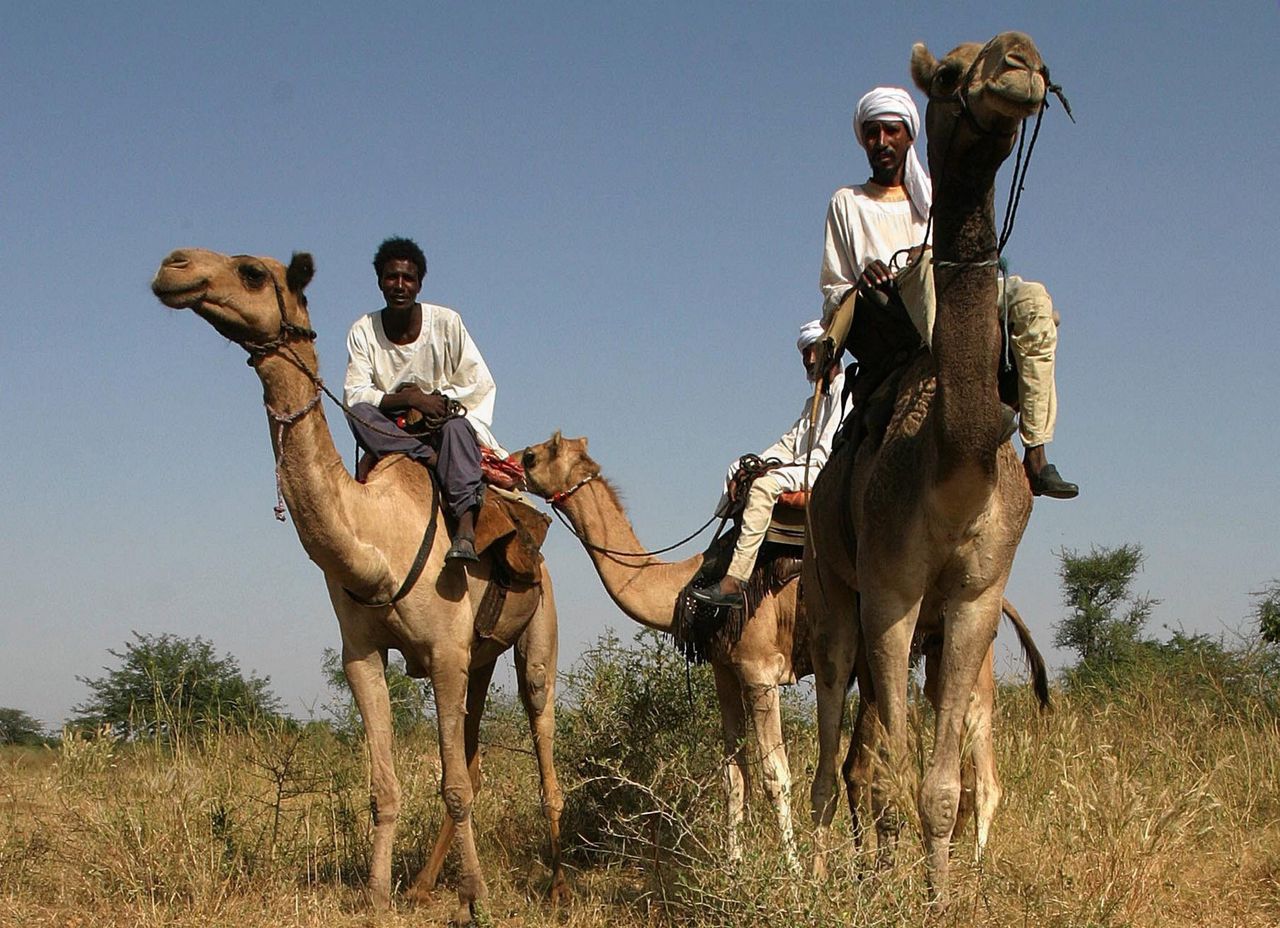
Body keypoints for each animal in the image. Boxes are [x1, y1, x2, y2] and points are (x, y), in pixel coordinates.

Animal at [149, 245, 565, 921]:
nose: (174, 266)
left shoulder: (442, 650)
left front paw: (475, 898)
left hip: (539, 632)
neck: (376, 541)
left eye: (252, 272)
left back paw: (554, 884)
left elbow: (451, 785)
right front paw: (377, 894)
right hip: (479, 655)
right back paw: (423, 883)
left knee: (538, 724)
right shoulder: (364, 653)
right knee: (474, 751)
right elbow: (386, 785)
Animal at [522, 435, 1049, 870]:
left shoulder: (759, 672)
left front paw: (793, 873)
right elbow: (734, 774)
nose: (510, 462)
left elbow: (776, 775)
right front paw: (734, 867)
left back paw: (973, 871)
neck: (687, 584)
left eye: (535, 455)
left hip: (969, 647)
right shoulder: (725, 673)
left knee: (983, 766)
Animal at [808, 30, 1049, 906]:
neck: (953, 470)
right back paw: (823, 870)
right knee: (833, 758)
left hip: (933, 635)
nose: (1021, 63)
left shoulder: (976, 600)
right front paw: (882, 885)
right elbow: (884, 768)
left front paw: (939, 894)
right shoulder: (889, 594)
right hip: (830, 599)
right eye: (949, 73)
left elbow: (940, 787)